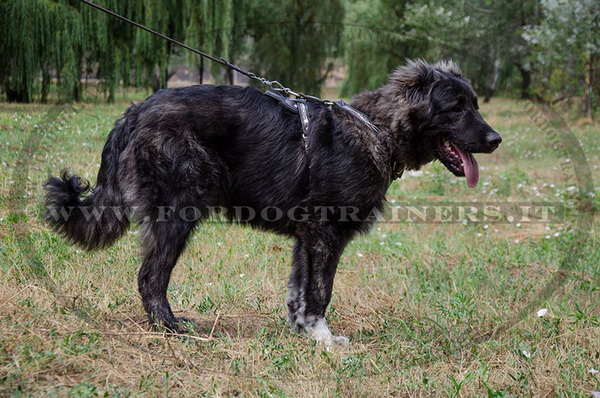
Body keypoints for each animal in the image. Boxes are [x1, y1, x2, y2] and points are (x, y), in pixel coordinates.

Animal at [43, 59, 502, 346]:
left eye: (476, 105)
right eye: (456, 108)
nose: (496, 139)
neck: (377, 129)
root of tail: (135, 111)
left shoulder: (307, 238)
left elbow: (299, 291)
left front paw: (303, 332)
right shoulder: (324, 233)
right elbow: (321, 290)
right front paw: (323, 339)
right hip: (177, 215)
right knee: (150, 277)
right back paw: (170, 328)